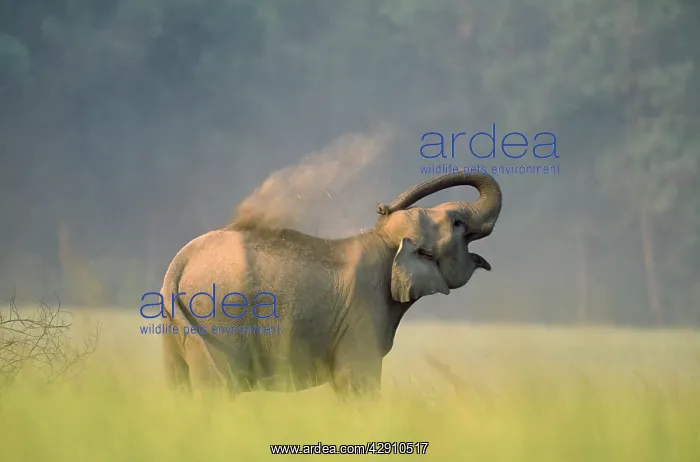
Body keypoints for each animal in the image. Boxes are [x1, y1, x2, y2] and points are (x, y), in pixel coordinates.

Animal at [156, 172, 503, 398]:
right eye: (457, 224)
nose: (382, 206)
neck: (383, 240)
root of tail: (180, 262)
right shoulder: (363, 312)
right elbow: (356, 381)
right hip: (219, 324)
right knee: (217, 390)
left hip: (176, 329)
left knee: (178, 386)